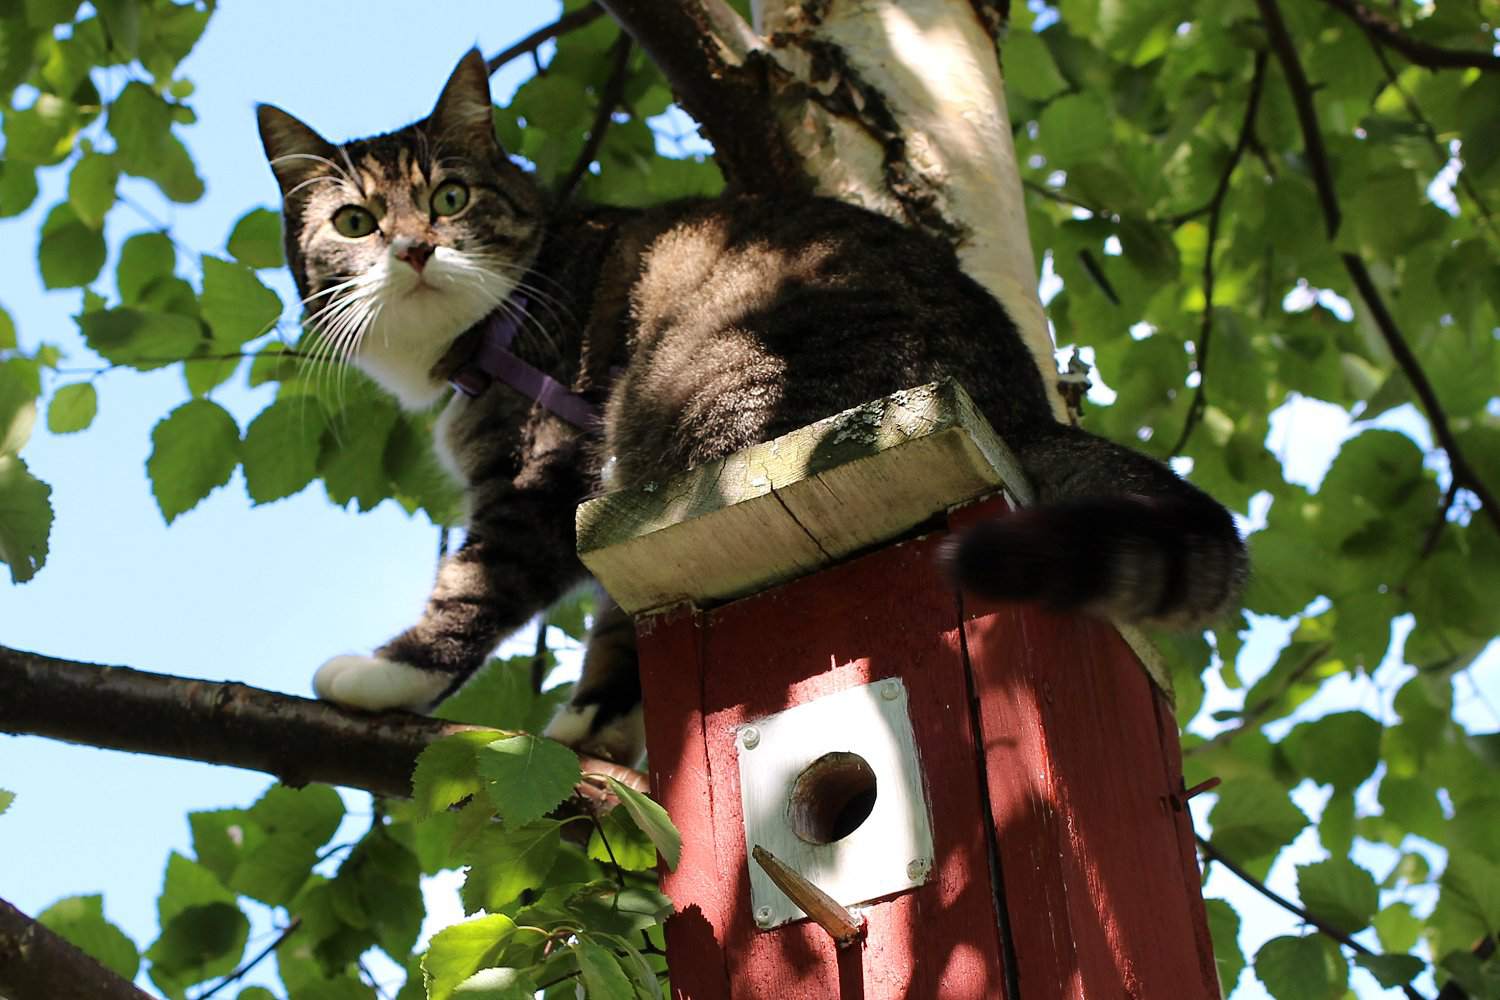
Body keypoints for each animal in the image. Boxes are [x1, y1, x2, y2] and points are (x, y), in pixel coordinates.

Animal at [258, 50, 1242, 761]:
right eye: (355, 222)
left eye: (450, 197)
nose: (415, 249)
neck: (488, 332)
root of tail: (1015, 401)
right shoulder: (610, 509)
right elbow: (628, 619)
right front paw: (603, 724)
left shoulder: (547, 477)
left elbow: (475, 585)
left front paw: (385, 676)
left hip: (701, 417)